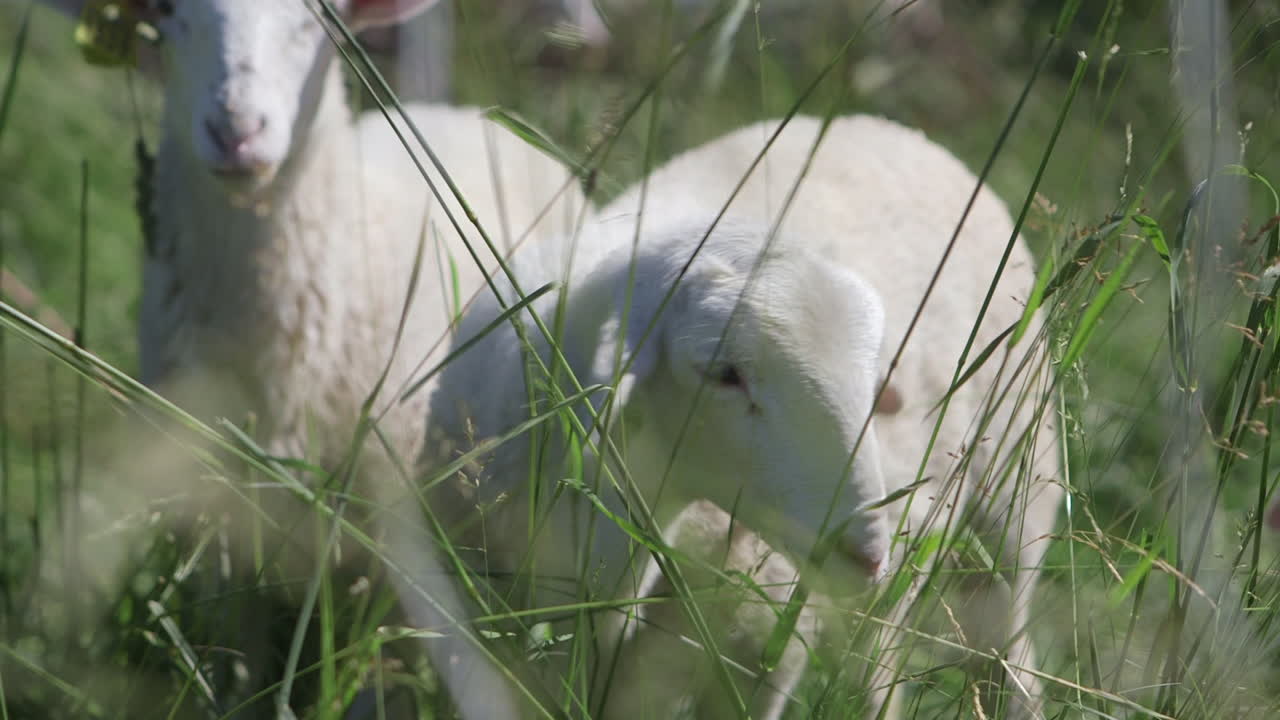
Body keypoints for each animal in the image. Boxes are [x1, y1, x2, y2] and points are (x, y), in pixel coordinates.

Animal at [422, 114, 1061, 718]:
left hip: (1014, 497)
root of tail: (891, 128)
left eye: (873, 381)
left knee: (1004, 646)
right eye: (723, 372)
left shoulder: (764, 656)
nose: (869, 553)